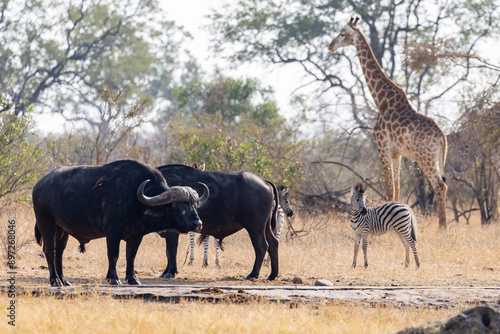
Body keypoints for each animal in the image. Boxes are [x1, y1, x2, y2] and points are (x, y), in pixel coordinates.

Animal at [32, 160, 209, 286]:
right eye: (181, 206)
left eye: (195, 205)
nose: (198, 224)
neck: (136, 199)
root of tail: (39, 185)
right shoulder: (112, 231)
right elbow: (114, 254)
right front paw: (113, 278)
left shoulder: (137, 235)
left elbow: (131, 256)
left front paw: (133, 279)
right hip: (46, 223)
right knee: (49, 250)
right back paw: (55, 281)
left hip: (62, 230)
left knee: (59, 252)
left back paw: (64, 280)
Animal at [328, 17, 450, 230]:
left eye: (343, 33)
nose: (330, 46)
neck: (381, 100)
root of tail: (442, 136)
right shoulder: (396, 153)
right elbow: (397, 190)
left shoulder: (382, 146)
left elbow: (388, 190)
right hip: (435, 157)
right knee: (442, 185)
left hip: (425, 157)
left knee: (439, 185)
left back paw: (442, 228)